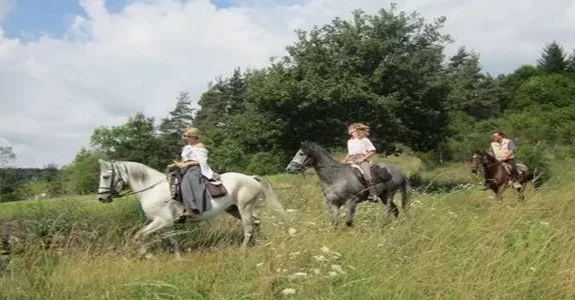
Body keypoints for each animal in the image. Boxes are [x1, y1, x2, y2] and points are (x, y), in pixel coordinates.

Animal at [97, 158, 290, 258]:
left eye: (106, 176)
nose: (101, 198)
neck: (151, 188)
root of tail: (250, 177)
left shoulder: (161, 221)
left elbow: (138, 236)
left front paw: (148, 255)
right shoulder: (167, 224)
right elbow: (173, 241)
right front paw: (178, 259)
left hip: (244, 208)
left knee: (249, 227)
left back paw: (242, 250)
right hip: (236, 209)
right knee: (256, 223)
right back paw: (258, 244)